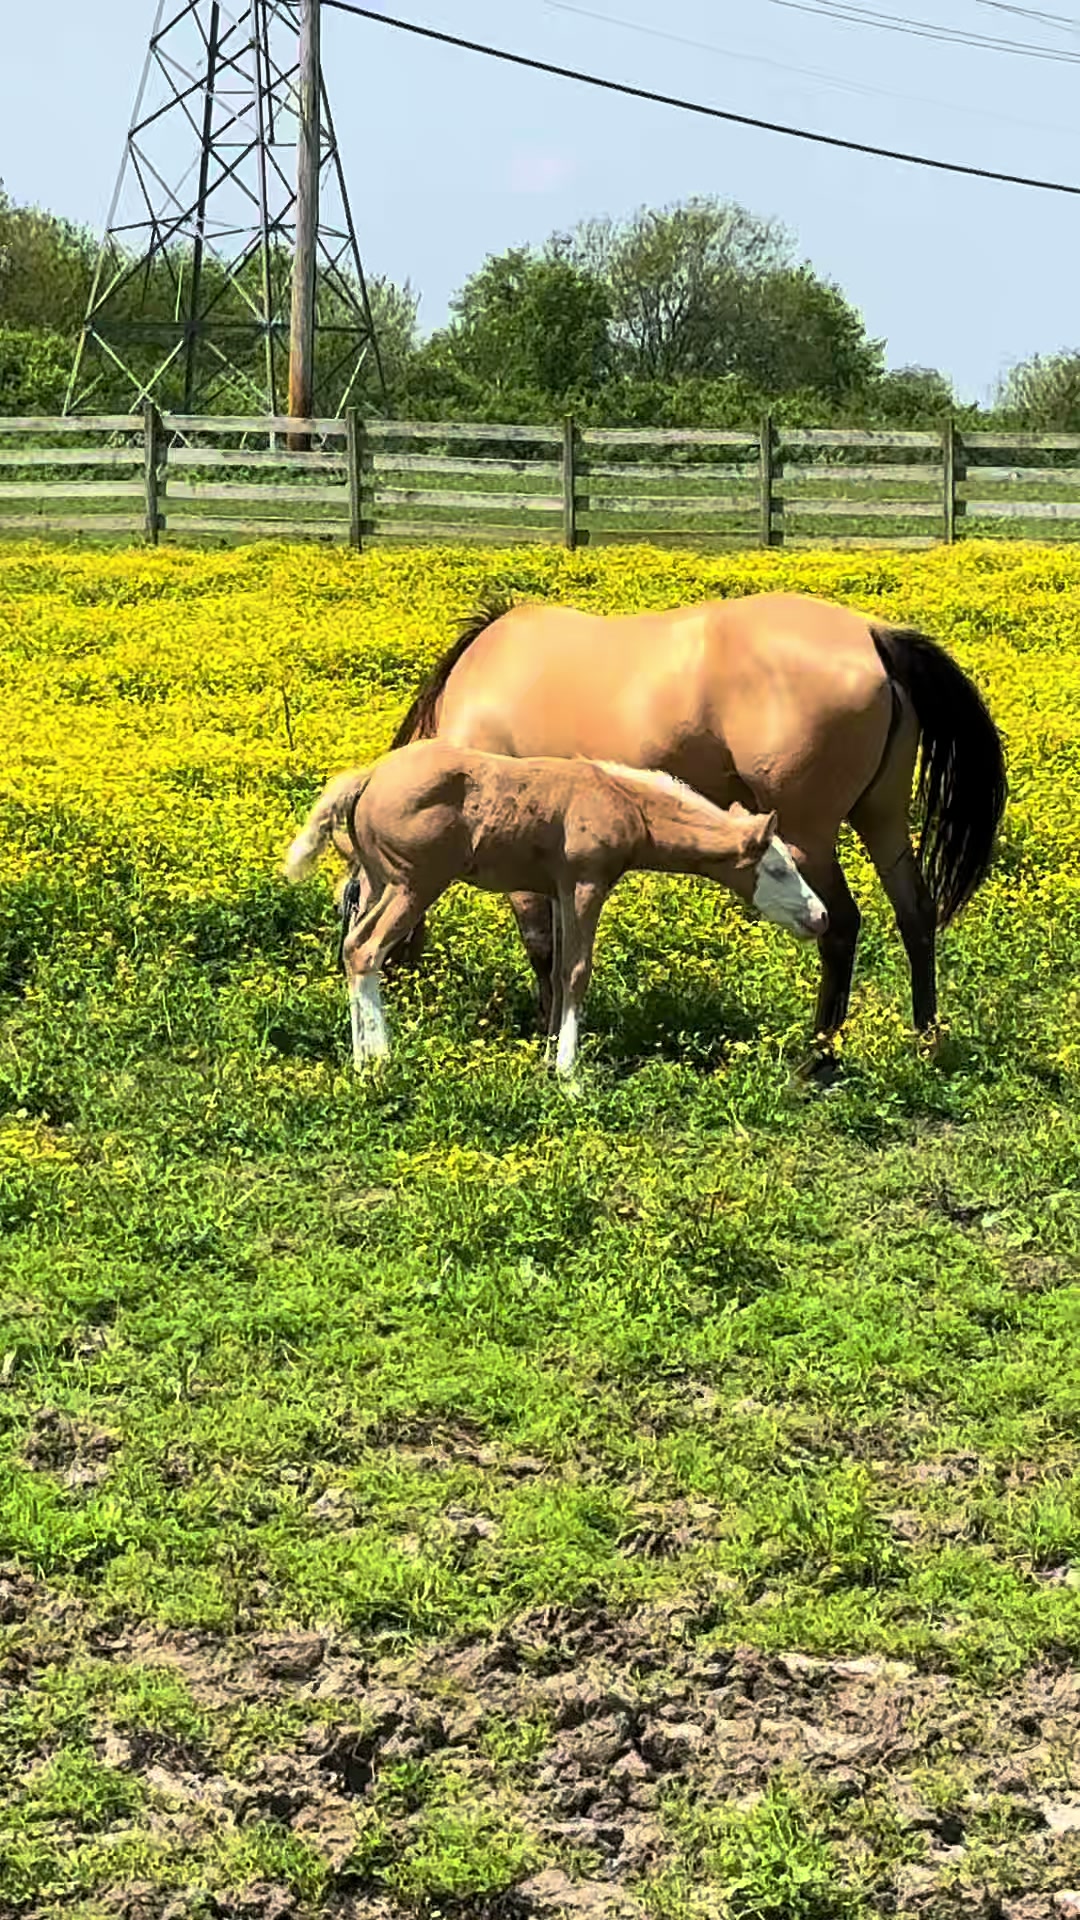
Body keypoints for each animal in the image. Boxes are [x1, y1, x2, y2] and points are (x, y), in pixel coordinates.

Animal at [283, 740, 827, 1075]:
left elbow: (560, 966)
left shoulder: (560, 890)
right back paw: (380, 1060)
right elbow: (577, 971)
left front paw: (548, 1058)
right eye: (777, 869)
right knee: (367, 950)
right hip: (414, 884)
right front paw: (569, 1073)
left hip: (379, 881)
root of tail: (370, 776)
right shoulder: (586, 883)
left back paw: (360, 1058)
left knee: (352, 946)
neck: (623, 803)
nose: (819, 917)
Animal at [386, 590, 1007, 1052]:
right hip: (881, 819)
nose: (389, 985)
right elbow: (562, 944)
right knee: (915, 913)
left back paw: (817, 1057)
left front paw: (545, 1031)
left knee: (840, 925)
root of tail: (874, 637)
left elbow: (542, 942)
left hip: (809, 836)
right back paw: (925, 1039)